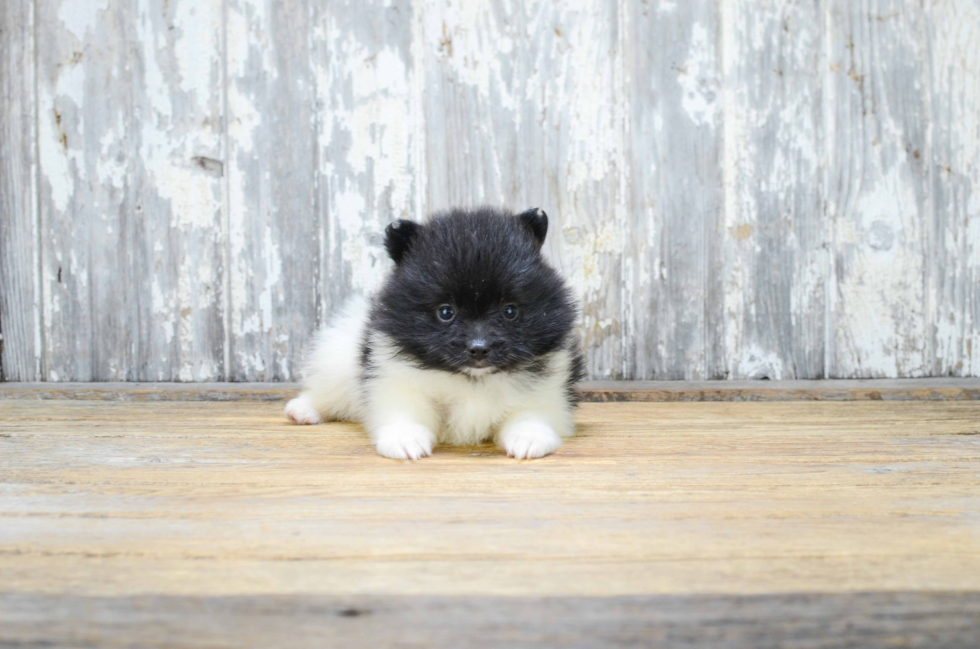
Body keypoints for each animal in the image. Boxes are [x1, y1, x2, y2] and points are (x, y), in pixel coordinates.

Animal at [288, 205, 584, 458]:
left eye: (510, 311)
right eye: (445, 312)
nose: (479, 348)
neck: (473, 380)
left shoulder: (546, 389)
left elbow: (532, 414)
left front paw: (529, 437)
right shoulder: (395, 380)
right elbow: (405, 411)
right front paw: (405, 439)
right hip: (339, 363)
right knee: (326, 392)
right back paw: (303, 410)